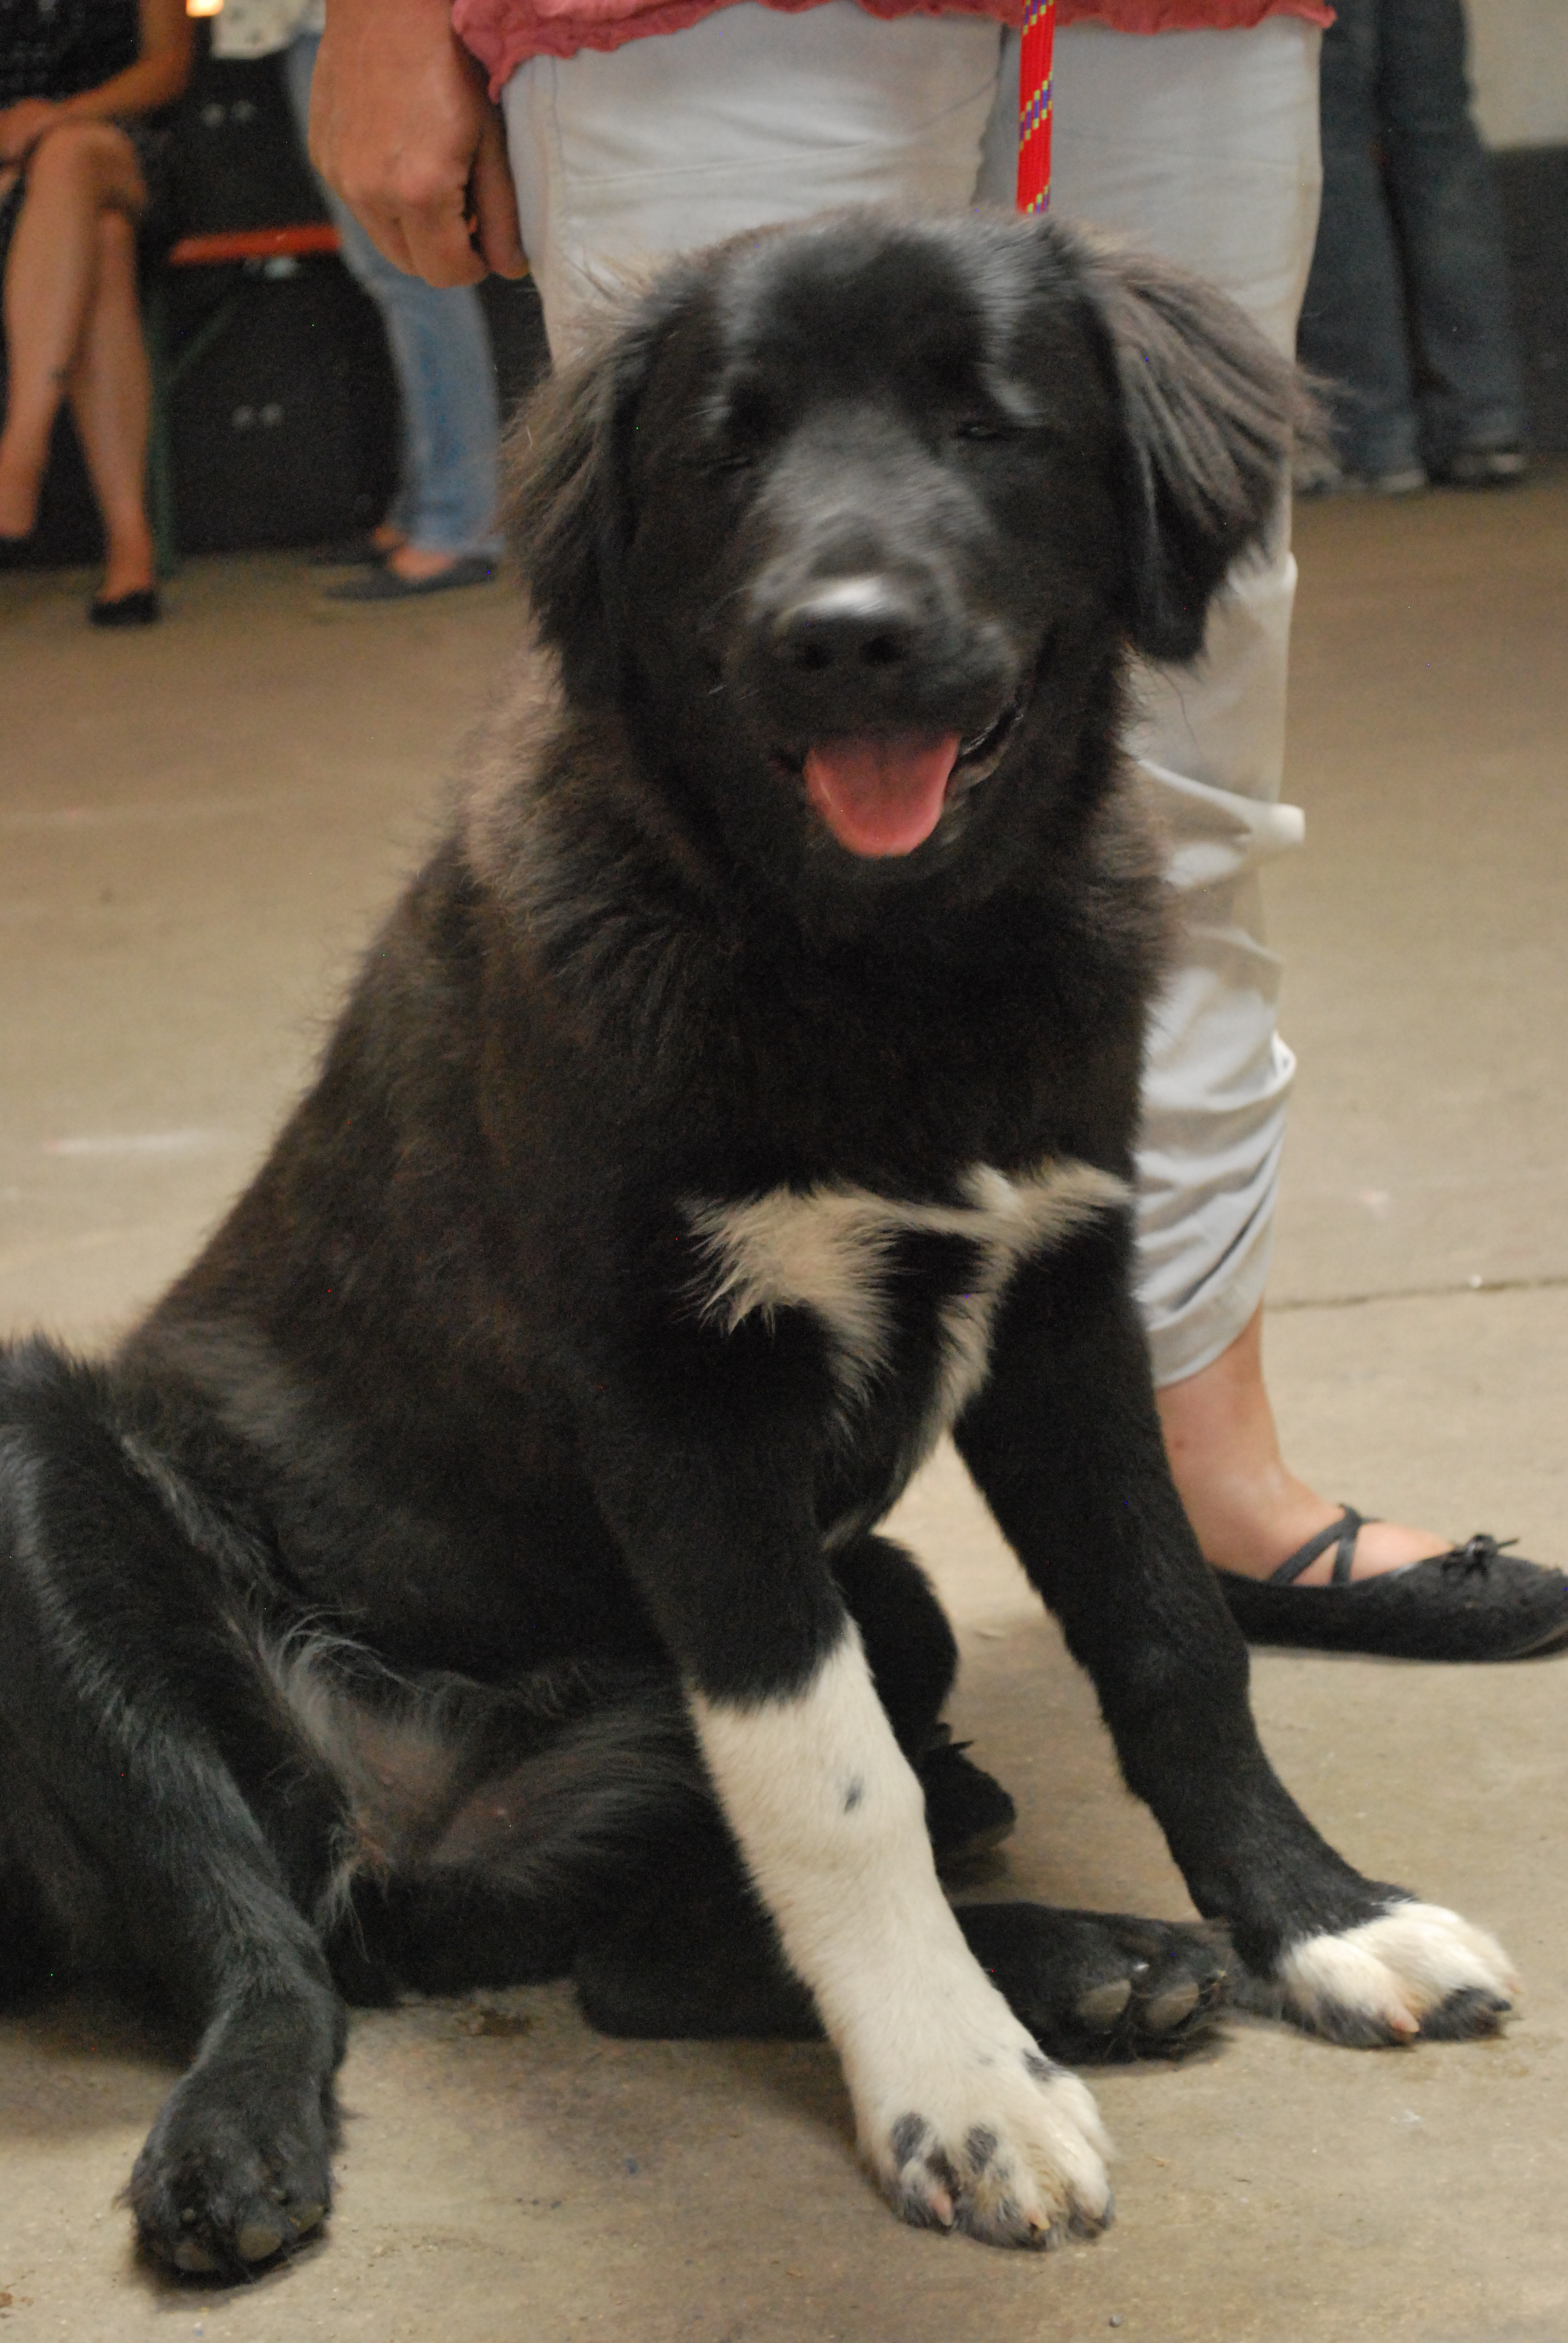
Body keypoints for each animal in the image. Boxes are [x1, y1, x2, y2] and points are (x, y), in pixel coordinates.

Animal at [0, 215, 1518, 2268]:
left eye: (988, 425)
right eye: (728, 453)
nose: (845, 631)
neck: (884, 966)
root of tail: (403, 1807)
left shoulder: (1062, 1301)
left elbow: (1172, 1633)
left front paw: (1319, 1918)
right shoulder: (678, 1389)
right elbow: (833, 1784)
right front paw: (958, 2094)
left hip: (874, 1599)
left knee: (631, 1958)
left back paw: (1092, 1962)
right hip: (40, 1488)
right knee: (266, 1938)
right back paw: (240, 2135)